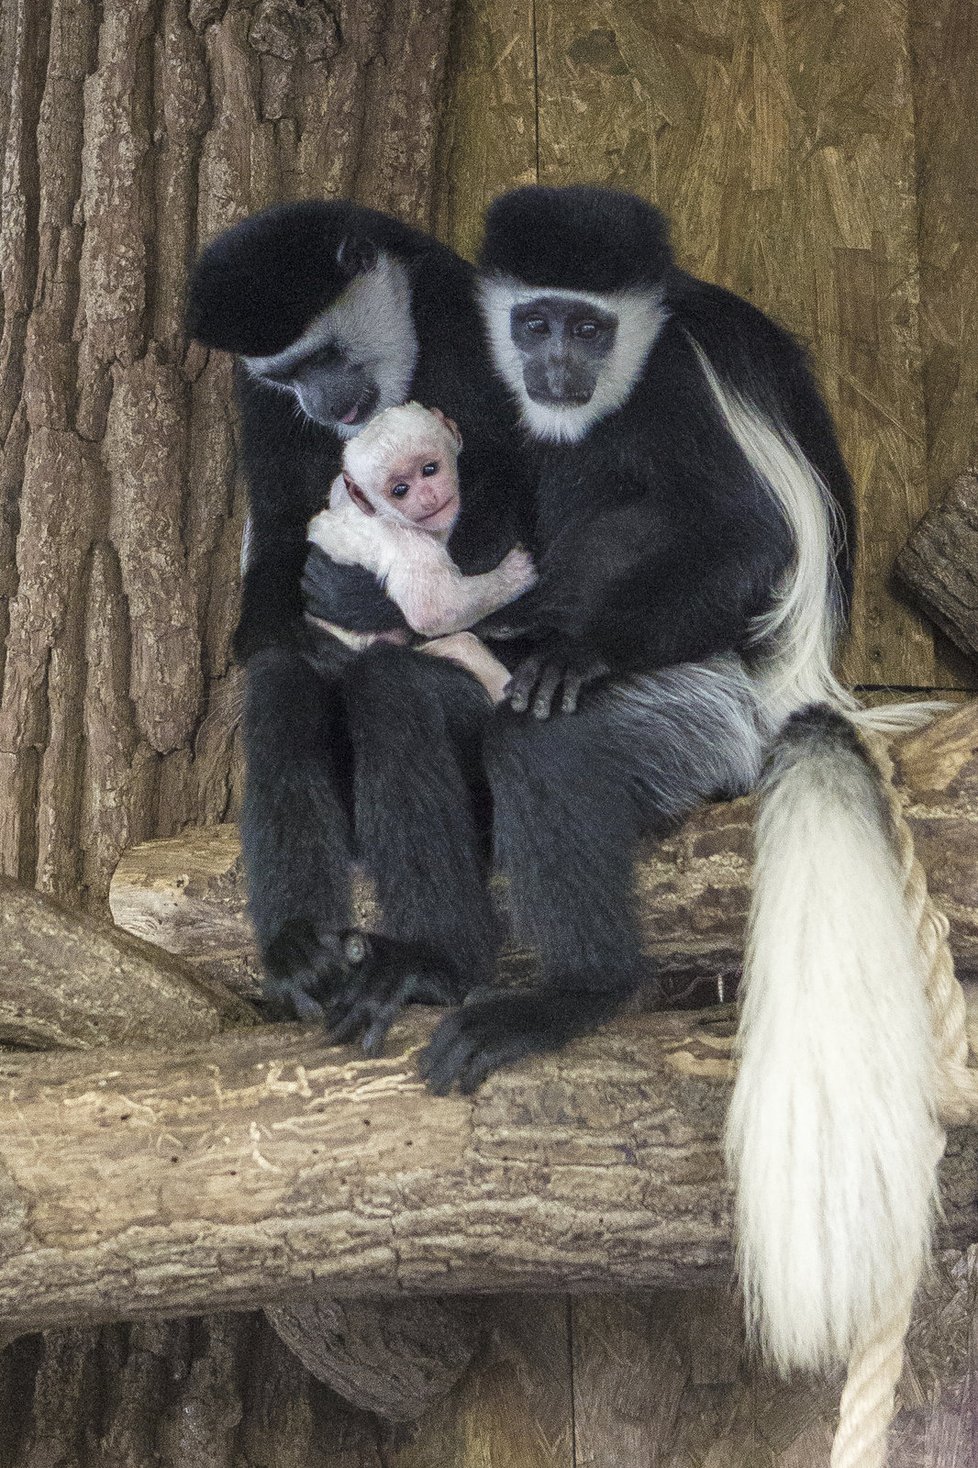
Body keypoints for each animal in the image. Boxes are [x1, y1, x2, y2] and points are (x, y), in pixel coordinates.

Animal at [305, 399, 534, 701]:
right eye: (400, 490)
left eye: (429, 470)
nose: (428, 499)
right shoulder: (408, 540)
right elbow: (434, 610)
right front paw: (517, 574)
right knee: (461, 645)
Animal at [419, 186, 939, 1385]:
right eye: (535, 322)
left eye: (590, 326)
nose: (557, 364)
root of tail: (800, 691)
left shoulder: (673, 394)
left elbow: (744, 538)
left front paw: (572, 654)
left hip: (704, 711)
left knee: (573, 695)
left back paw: (570, 986)